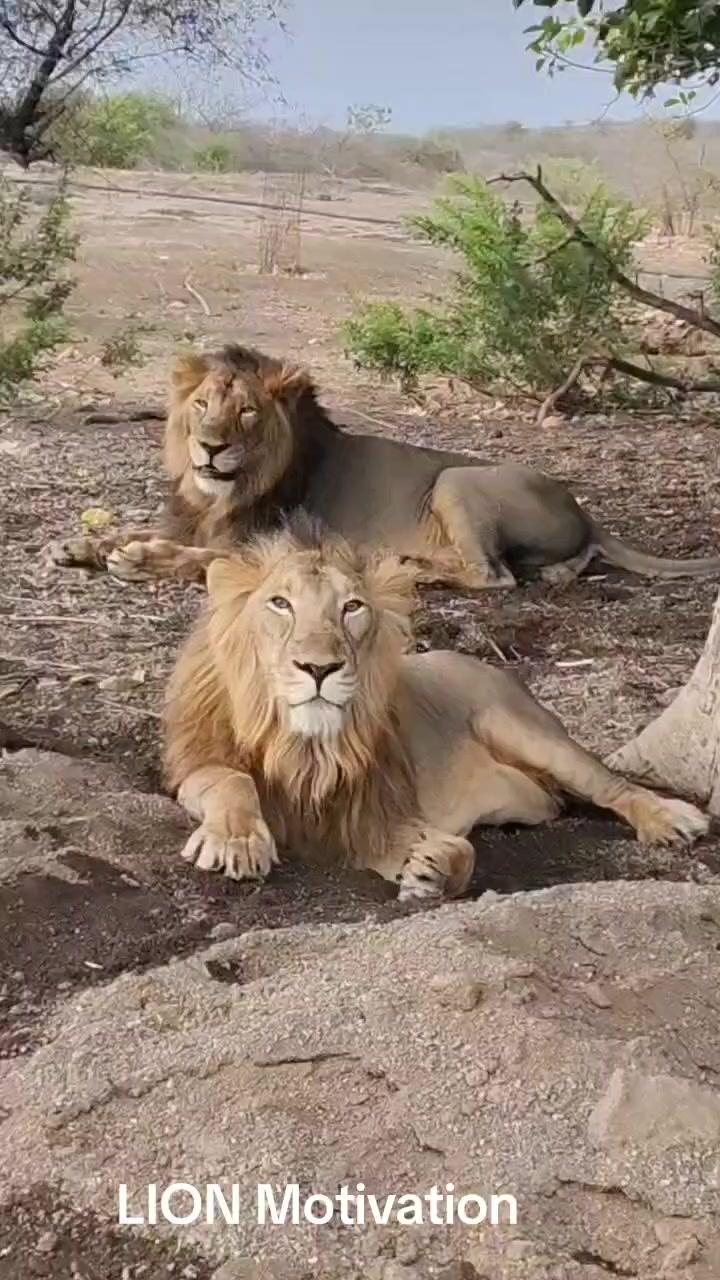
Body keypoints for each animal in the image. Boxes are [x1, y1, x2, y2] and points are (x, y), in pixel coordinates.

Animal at [48, 344, 720, 592]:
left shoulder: (274, 545)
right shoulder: (191, 518)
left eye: (246, 412)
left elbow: (205, 558)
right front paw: (80, 544)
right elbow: (143, 527)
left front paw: (140, 559)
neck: (221, 491)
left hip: (456, 480)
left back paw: (399, 566)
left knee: (493, 576)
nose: (211, 447)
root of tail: (583, 507)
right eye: (202, 406)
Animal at [163, 517, 709, 902]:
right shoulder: (198, 764)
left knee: (608, 784)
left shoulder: (367, 806)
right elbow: (232, 780)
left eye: (352, 607)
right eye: (280, 603)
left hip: (523, 729)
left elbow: (457, 851)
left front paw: (432, 871)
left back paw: (672, 819)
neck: (300, 741)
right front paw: (237, 842)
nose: (320, 668)